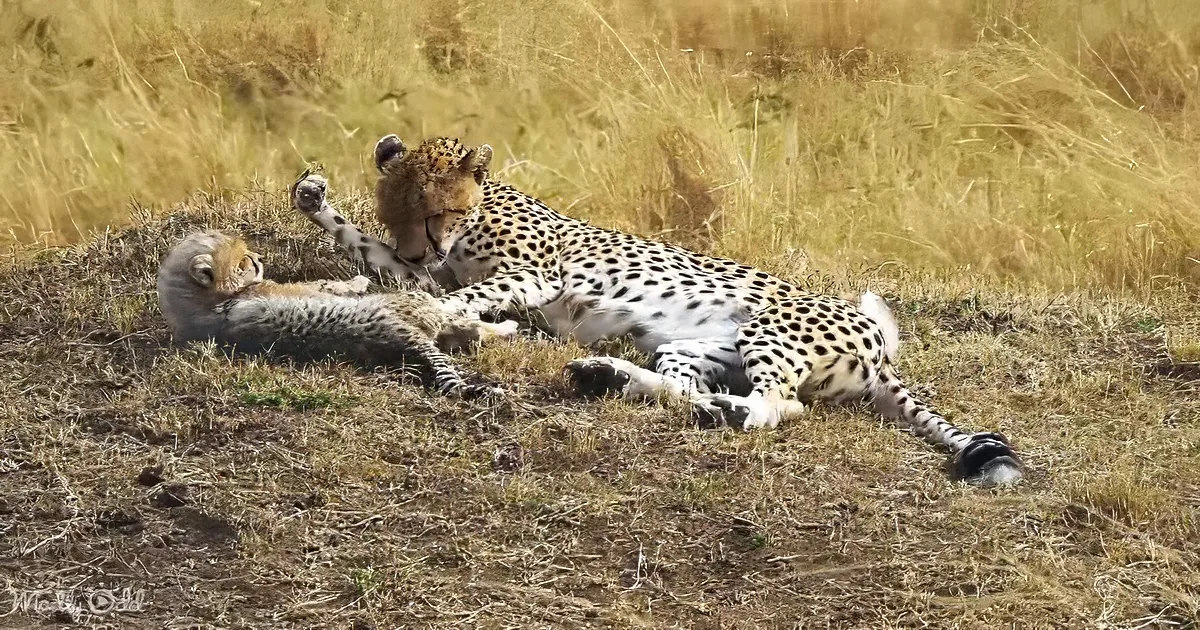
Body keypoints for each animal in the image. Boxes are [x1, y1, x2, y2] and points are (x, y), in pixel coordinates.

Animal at [156, 229, 517, 398]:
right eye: (243, 260)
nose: (258, 259)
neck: (204, 307)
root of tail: (401, 340)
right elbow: (330, 285)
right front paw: (357, 281)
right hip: (411, 305)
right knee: (465, 325)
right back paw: (507, 325)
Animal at [288, 135, 1024, 486]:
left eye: (436, 209)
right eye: (397, 210)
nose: (419, 243)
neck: (481, 210)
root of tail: (877, 344)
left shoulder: (530, 275)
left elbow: (454, 296)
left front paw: (443, 313)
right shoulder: (415, 260)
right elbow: (373, 254)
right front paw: (313, 198)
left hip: (769, 331)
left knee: (782, 406)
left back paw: (726, 410)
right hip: (694, 345)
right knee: (685, 386)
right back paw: (613, 377)